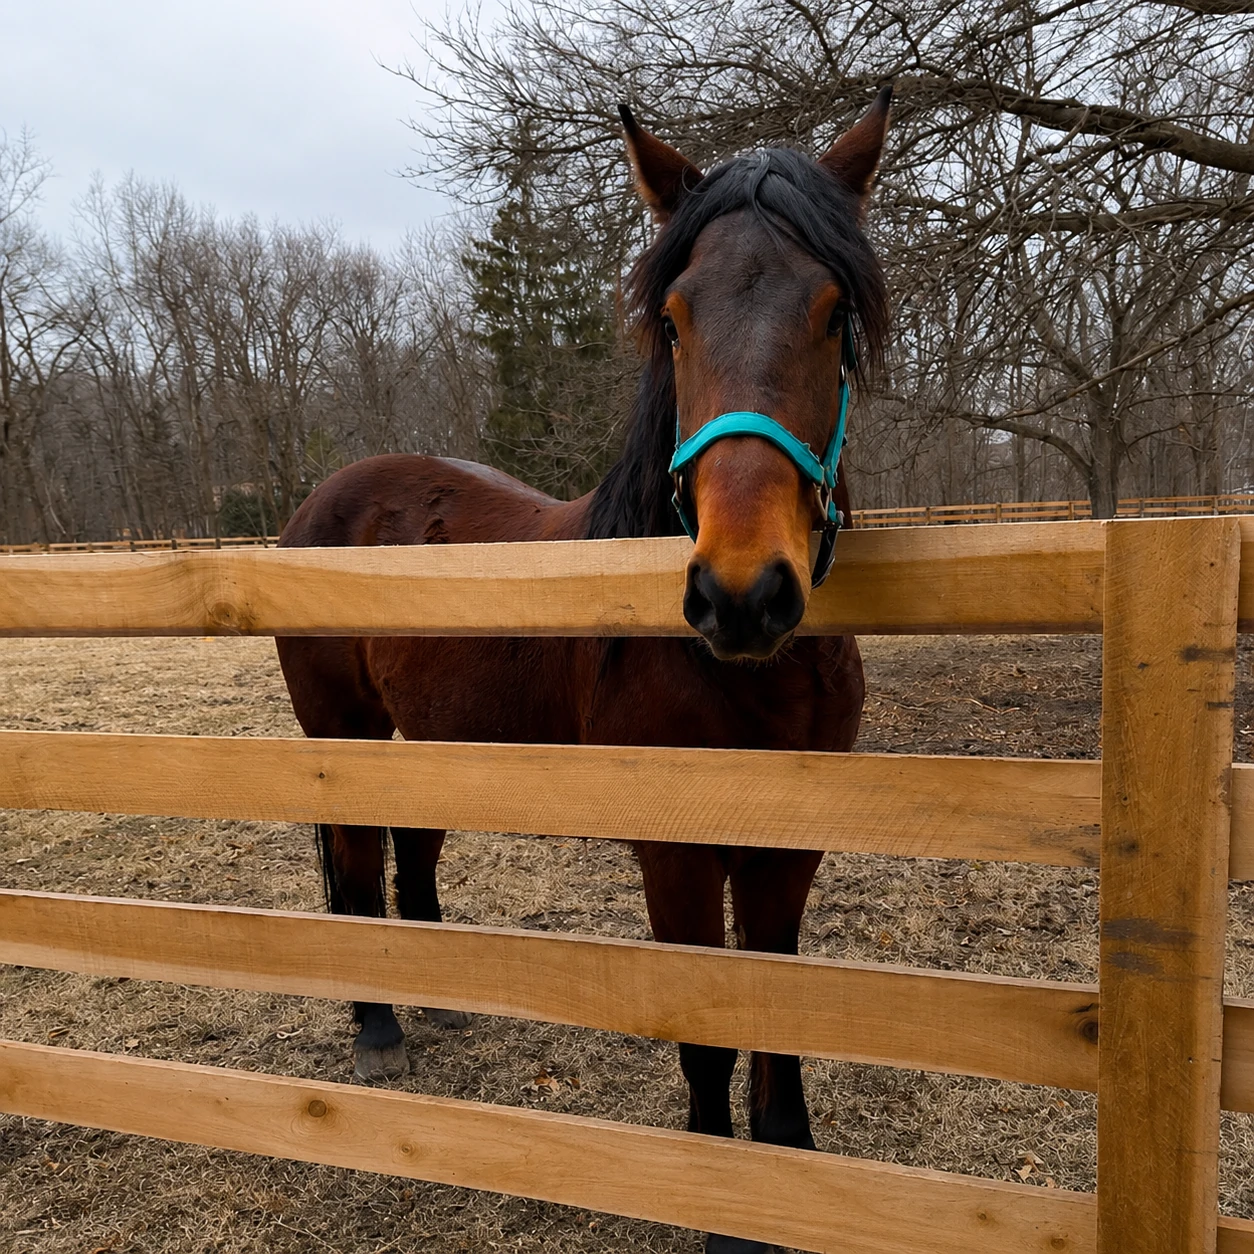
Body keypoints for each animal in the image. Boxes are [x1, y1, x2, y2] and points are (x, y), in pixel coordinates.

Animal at [276, 89, 891, 1254]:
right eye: (675, 320)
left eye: (836, 313)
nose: (741, 595)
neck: (748, 670)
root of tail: (321, 500)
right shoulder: (676, 851)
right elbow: (709, 1039)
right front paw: (724, 1212)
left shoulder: (792, 844)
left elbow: (780, 1024)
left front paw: (789, 1178)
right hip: (342, 735)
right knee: (357, 864)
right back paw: (378, 1026)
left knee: (412, 856)